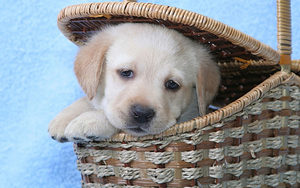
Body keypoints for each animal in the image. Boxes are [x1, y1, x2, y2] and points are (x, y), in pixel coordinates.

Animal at [47, 22, 220, 142]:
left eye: (172, 84)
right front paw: (63, 119)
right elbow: (91, 100)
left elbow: (111, 116)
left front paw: (91, 120)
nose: (142, 113)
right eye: (126, 72)